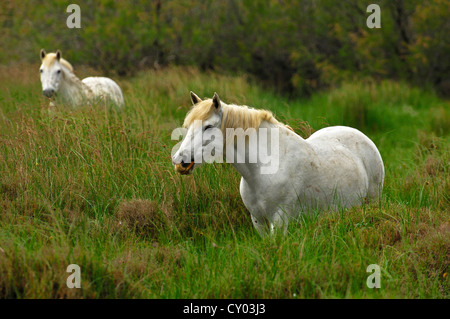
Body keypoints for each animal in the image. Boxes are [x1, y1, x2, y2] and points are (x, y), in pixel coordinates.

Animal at [172, 92, 384, 238]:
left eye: (208, 126)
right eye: (188, 126)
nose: (179, 161)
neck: (262, 170)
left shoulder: (281, 220)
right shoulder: (259, 221)